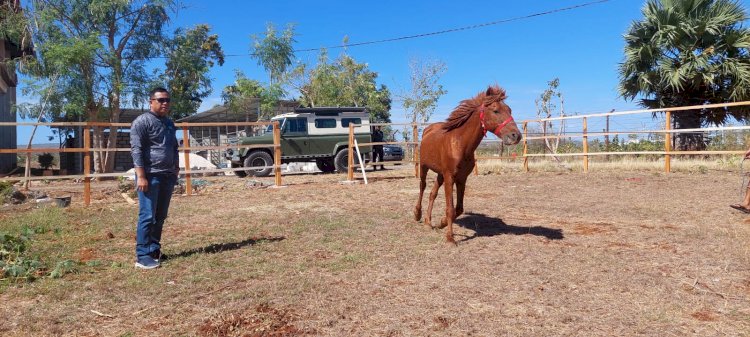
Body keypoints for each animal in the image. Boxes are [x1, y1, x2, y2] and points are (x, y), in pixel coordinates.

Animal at [414, 83, 520, 242]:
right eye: (495, 110)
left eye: (510, 110)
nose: (516, 136)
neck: (460, 144)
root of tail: (428, 130)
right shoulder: (450, 177)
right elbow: (450, 208)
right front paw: (450, 238)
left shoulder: (461, 178)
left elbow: (458, 209)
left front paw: (442, 223)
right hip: (424, 167)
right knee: (422, 187)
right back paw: (417, 214)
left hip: (440, 174)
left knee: (432, 194)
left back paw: (428, 222)